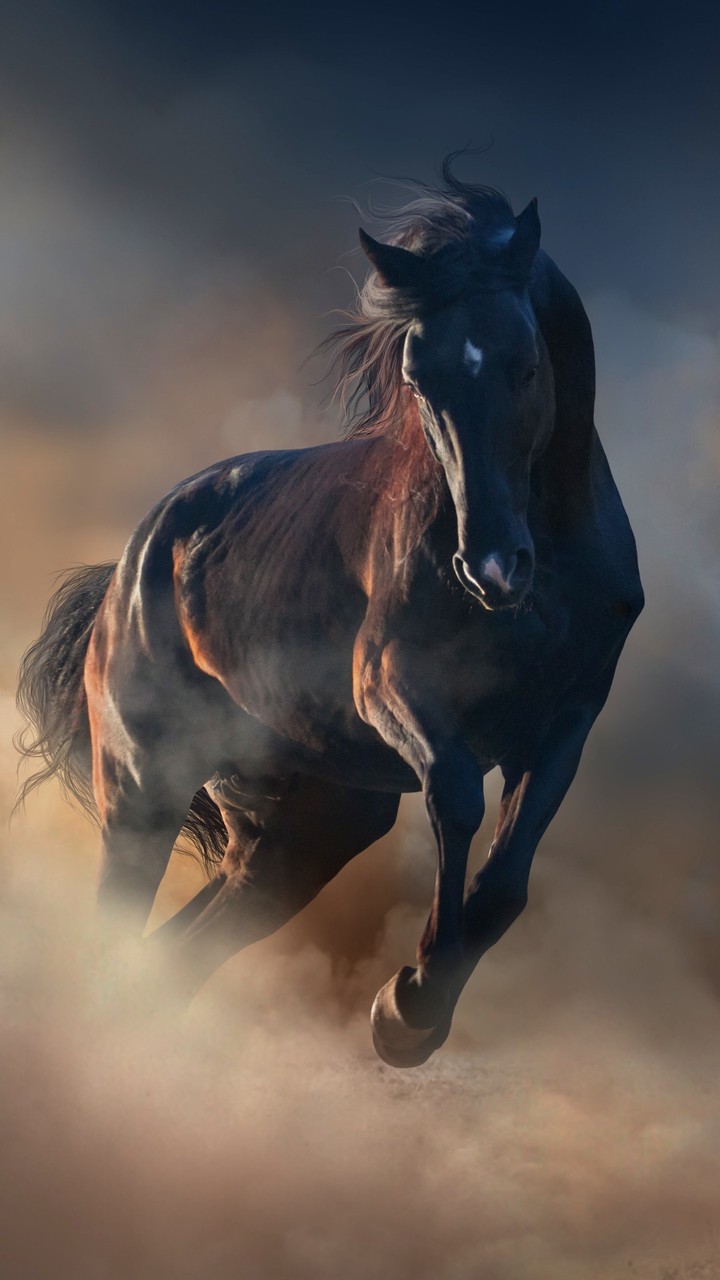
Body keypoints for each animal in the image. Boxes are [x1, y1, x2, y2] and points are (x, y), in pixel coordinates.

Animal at [16, 160, 644, 1068]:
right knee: (116, 933)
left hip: (305, 828)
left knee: (179, 953)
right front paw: (405, 1008)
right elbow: (458, 798)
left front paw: (415, 1009)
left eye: (526, 364)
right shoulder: (393, 690)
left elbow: (505, 884)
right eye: (420, 379)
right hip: (141, 790)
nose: (491, 568)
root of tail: (127, 573)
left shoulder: (568, 719)